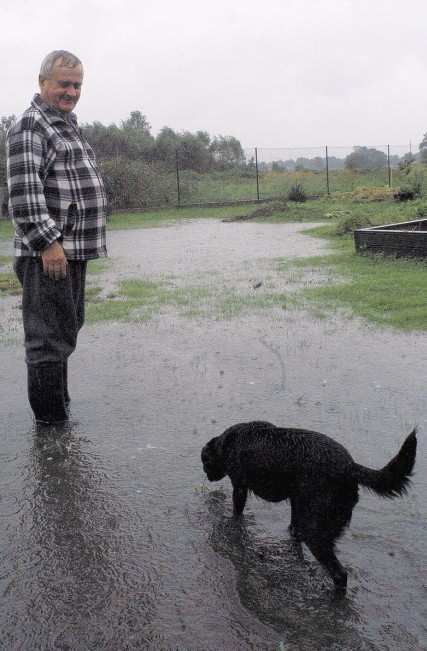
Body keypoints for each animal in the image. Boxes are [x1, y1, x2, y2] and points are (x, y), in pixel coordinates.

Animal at [201, 422, 418, 592]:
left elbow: (237, 510)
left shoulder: (239, 487)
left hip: (315, 532)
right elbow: (292, 524)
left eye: (205, 464)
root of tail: (350, 467)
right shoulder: (295, 500)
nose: (209, 477)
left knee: (340, 574)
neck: (227, 442)